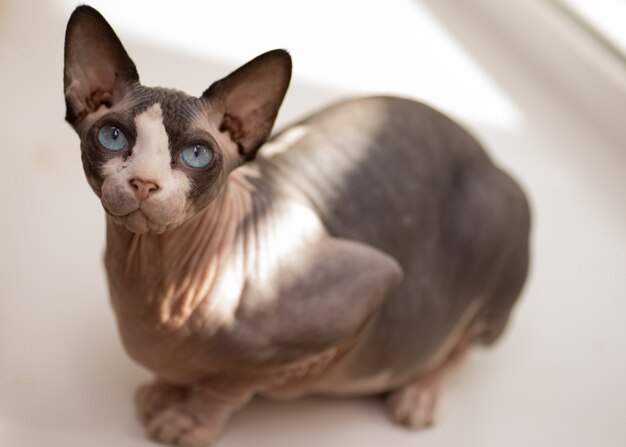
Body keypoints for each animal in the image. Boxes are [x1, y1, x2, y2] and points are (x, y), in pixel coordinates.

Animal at [63, 4, 528, 447]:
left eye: (197, 155)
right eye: (113, 137)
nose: (144, 182)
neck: (156, 290)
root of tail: (490, 158)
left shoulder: (369, 283)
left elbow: (232, 383)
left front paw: (191, 418)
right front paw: (166, 390)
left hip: (495, 235)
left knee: (463, 346)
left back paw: (419, 394)